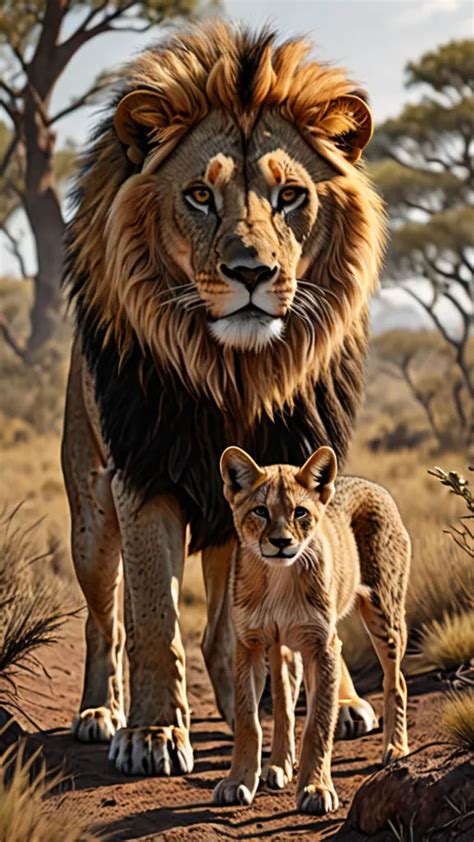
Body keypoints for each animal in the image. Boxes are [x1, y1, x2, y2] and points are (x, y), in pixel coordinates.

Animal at [62, 21, 386, 776]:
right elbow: (153, 618)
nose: (251, 272)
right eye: (200, 197)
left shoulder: (304, 470)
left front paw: (334, 702)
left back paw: (257, 703)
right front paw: (153, 733)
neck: (237, 373)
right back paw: (100, 712)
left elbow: (317, 588)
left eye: (290, 195)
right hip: (90, 515)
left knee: (222, 635)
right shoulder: (144, 477)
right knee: (103, 620)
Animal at [214, 445, 410, 814]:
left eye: (300, 512)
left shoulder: (323, 646)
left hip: (384, 614)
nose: (281, 542)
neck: (278, 577)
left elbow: (318, 722)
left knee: (397, 680)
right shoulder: (250, 644)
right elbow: (249, 718)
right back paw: (279, 765)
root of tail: (372, 484)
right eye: (260, 511)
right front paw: (238, 781)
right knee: (284, 702)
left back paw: (396, 749)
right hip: (284, 646)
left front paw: (316, 788)